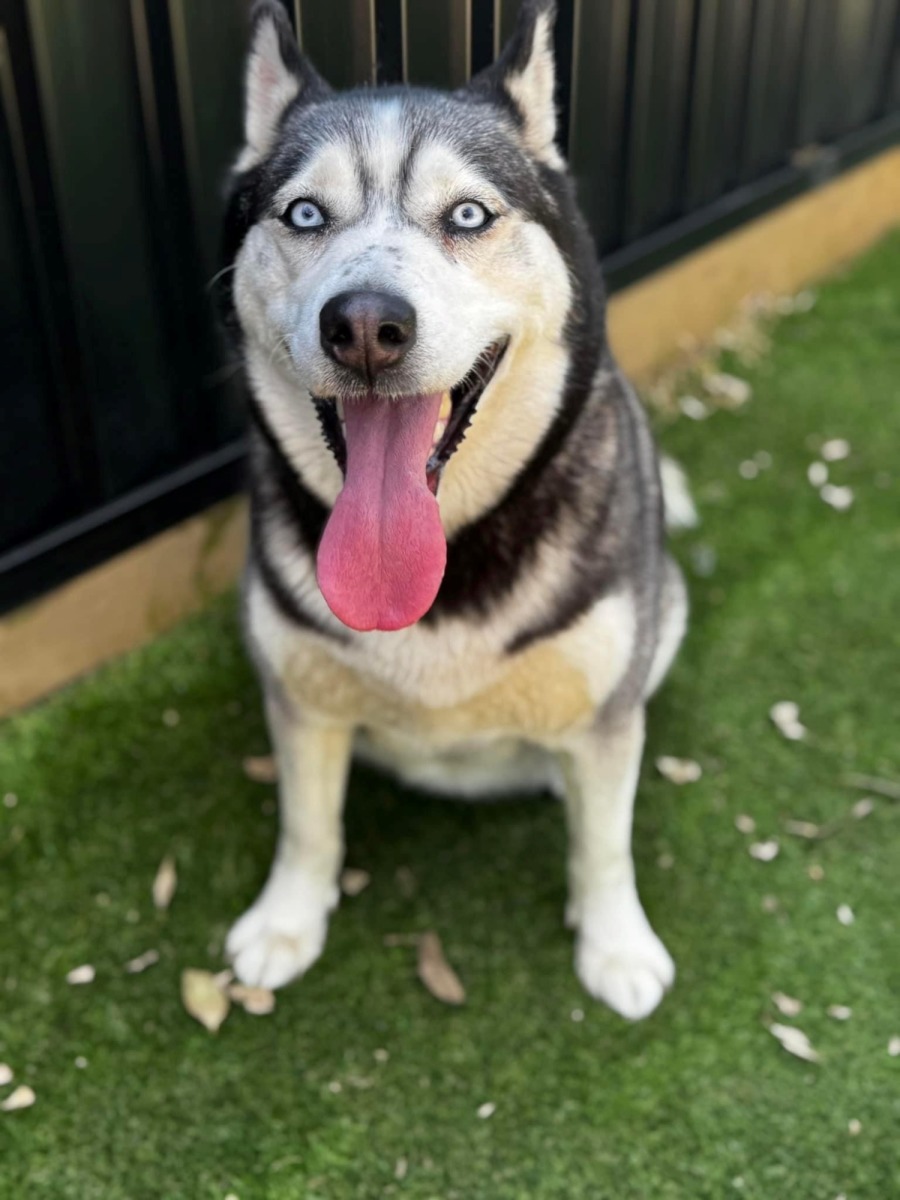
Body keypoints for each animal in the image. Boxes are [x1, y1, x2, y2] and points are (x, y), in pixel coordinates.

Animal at [219, 0, 689, 1020]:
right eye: (305, 214)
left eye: (467, 214)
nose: (364, 324)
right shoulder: (300, 700)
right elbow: (307, 822)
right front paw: (287, 919)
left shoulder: (606, 714)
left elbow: (605, 838)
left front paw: (616, 944)